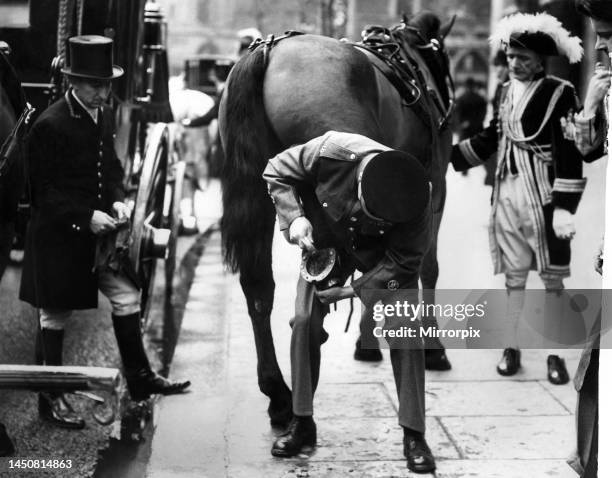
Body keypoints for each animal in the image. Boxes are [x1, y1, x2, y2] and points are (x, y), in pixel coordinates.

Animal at [219, 11, 454, 424]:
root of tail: (268, 49)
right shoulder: (434, 188)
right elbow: (427, 266)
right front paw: (431, 346)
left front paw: (367, 340)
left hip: (261, 193)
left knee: (260, 288)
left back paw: (278, 391)